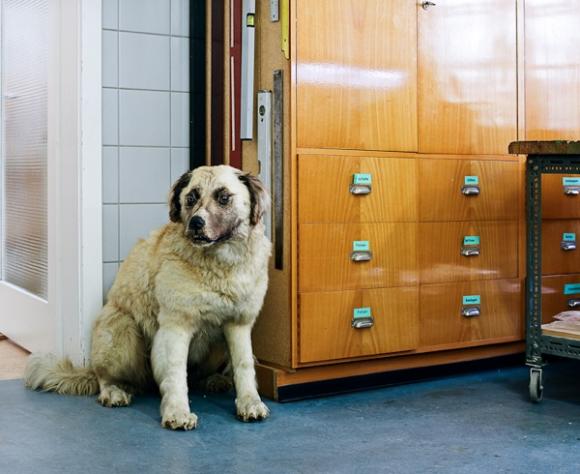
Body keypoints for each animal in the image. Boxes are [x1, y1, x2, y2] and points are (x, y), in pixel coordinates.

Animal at [23, 166, 274, 430]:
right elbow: (175, 374)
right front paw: (177, 412)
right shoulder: (175, 327)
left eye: (223, 197)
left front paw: (250, 403)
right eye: (191, 198)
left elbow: (244, 365)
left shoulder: (239, 324)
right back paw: (115, 391)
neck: (220, 264)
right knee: (105, 377)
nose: (196, 223)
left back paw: (214, 380)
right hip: (123, 332)